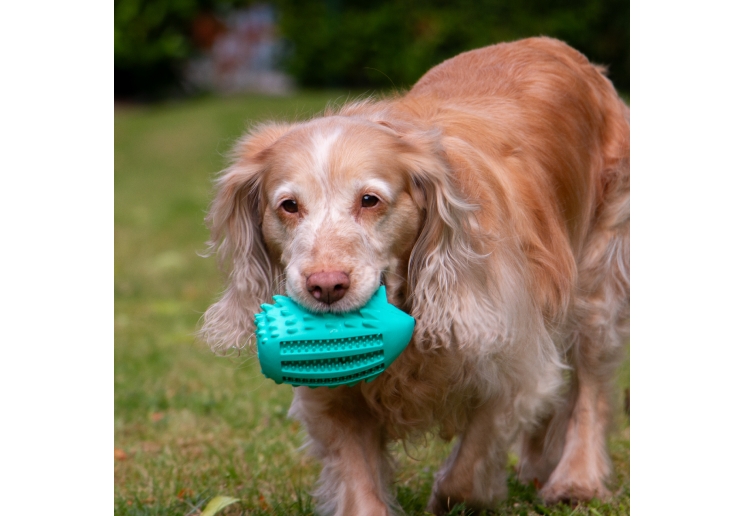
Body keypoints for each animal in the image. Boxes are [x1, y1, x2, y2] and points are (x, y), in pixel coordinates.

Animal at [202, 38, 628, 512]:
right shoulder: (333, 398)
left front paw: (454, 495)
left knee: (590, 391)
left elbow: (469, 467)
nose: (326, 286)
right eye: (289, 206)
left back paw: (577, 479)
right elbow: (360, 485)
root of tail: (559, 47)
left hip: (598, 287)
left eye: (370, 200)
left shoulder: (516, 364)